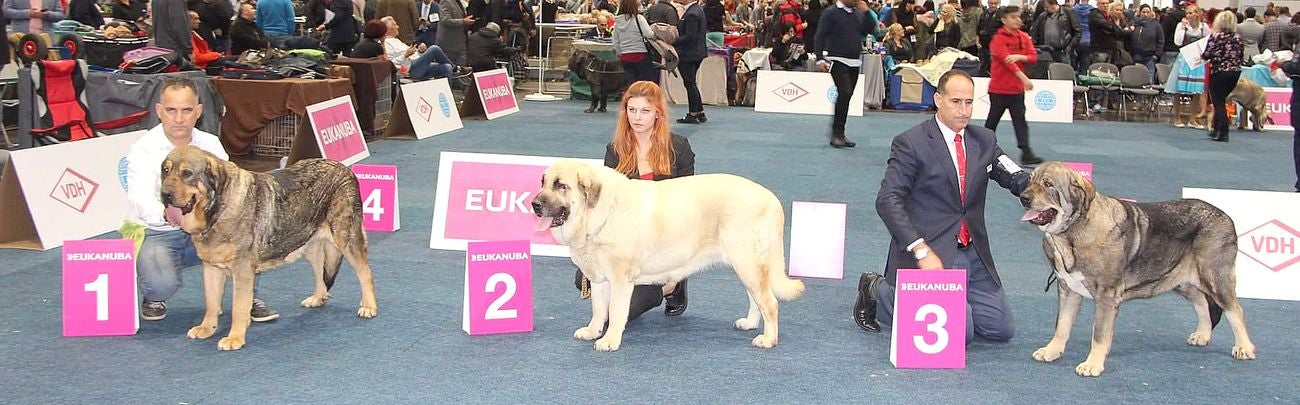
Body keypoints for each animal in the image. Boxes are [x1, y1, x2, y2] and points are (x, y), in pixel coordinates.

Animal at [159, 146, 379, 350]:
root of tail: (343, 168)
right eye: (165, 171)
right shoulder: (211, 269)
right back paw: (317, 298)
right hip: (307, 242)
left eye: (187, 173)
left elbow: (239, 307)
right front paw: (206, 329)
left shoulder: (243, 272)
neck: (217, 209)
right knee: (320, 273)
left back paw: (369, 306)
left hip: (346, 239)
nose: (164, 194)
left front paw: (235, 338)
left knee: (365, 273)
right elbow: (211, 304)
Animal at [527, 160, 800, 350]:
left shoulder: (620, 280)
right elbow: (598, 309)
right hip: (744, 265)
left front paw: (610, 340)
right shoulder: (599, 279)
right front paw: (593, 331)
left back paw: (768, 339)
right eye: (542, 182)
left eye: (561, 185)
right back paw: (750, 323)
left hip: (747, 262)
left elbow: (615, 311)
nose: (535, 205)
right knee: (756, 298)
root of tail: (772, 199)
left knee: (770, 302)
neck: (599, 213)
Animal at [1019, 161, 1253, 376]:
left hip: (1214, 277)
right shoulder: (1068, 289)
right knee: (1202, 302)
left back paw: (1244, 347)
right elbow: (1062, 325)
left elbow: (1099, 334)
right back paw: (1202, 335)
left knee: (1234, 309)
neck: (1072, 231)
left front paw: (1092, 364)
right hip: (1181, 280)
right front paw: (1051, 351)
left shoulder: (1106, 296)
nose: (1023, 197)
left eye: (1048, 184)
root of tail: (1227, 218)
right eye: (1030, 180)